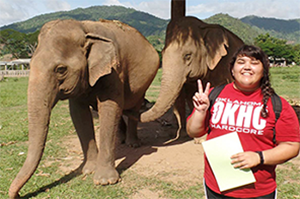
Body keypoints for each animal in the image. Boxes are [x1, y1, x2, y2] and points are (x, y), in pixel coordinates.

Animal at [8, 18, 159, 199]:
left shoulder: (115, 71)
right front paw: (88, 171)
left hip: (144, 84)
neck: (84, 28)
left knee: (133, 107)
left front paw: (105, 181)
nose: (16, 195)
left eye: (61, 69)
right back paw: (121, 140)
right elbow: (78, 114)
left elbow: (110, 108)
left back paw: (132, 144)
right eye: (29, 65)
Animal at [139, 0, 244, 140]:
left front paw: (205, 138)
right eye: (163, 53)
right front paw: (197, 137)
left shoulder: (224, 64)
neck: (204, 27)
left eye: (187, 56)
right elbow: (191, 96)